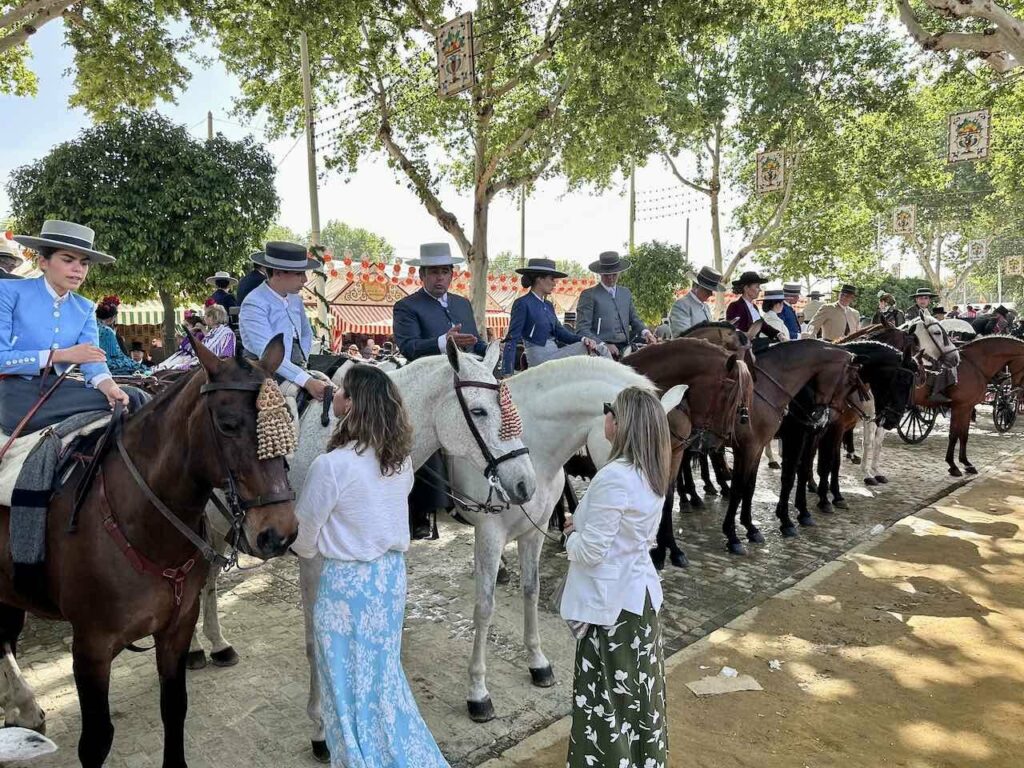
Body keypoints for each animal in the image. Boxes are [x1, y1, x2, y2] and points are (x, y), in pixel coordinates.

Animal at [0, 333, 299, 765]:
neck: (138, 521)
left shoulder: (175, 629)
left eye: (288, 420)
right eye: (227, 424)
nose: (279, 533)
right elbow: (97, 740)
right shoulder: (90, 648)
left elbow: (174, 708)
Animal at [917, 335, 1024, 475]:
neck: (975, 365)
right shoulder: (960, 408)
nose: (1016, 390)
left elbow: (963, 435)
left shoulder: (967, 408)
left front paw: (965, 462)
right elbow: (954, 435)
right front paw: (953, 465)